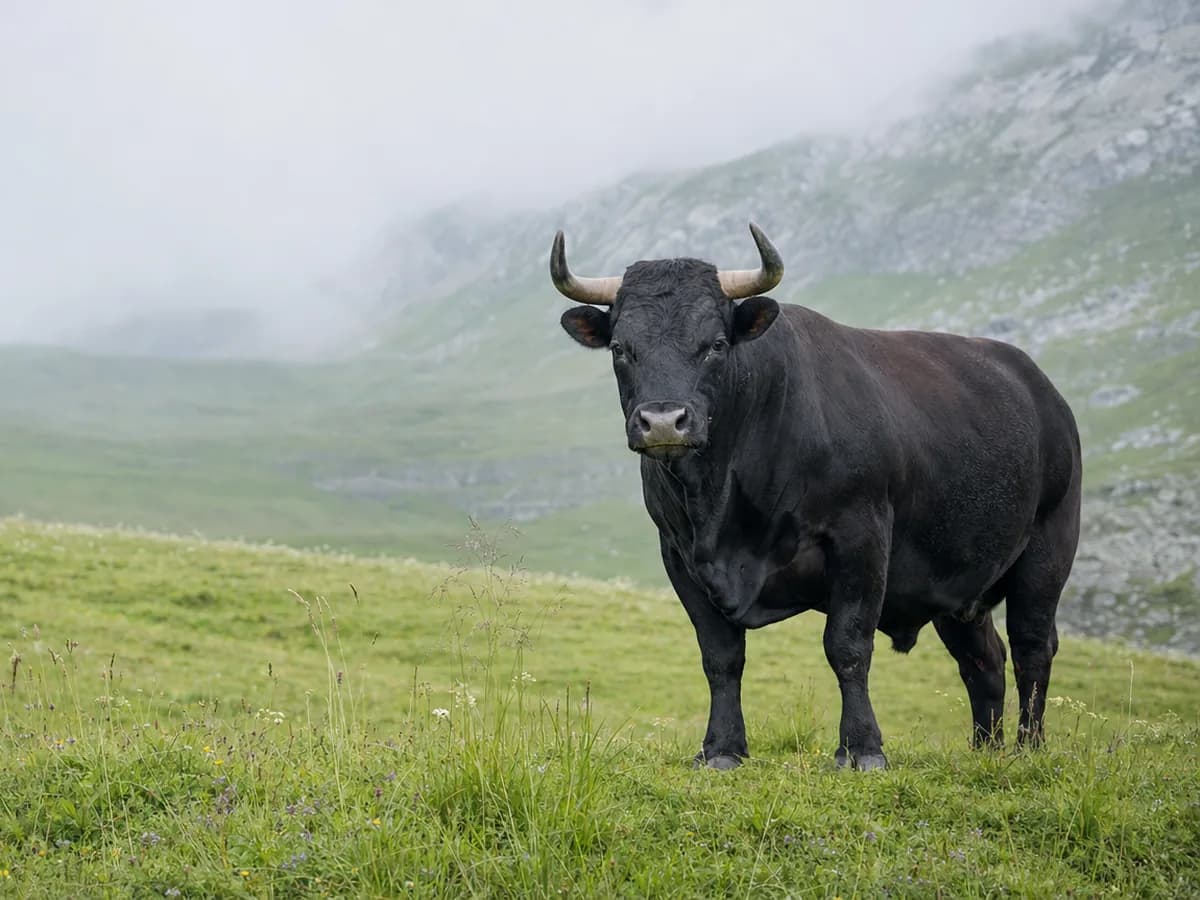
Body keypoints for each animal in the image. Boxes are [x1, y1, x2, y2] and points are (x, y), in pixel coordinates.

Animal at [551, 223, 1081, 770]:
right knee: (984, 659)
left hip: (1049, 549)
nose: (662, 422)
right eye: (620, 347)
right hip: (956, 586)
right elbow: (720, 656)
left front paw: (861, 748)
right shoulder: (679, 556)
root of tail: (1042, 390)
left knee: (1032, 645)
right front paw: (721, 748)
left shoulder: (860, 538)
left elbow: (847, 646)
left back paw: (1028, 749)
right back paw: (985, 751)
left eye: (716, 344)